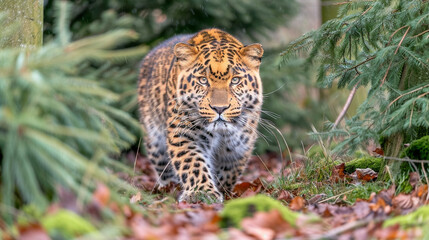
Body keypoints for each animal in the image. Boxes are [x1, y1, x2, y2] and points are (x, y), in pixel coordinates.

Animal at [139, 28, 262, 202]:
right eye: (203, 80)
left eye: (235, 80)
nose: (219, 108)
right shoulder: (183, 134)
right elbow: (192, 164)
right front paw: (202, 192)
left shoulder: (240, 144)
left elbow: (229, 171)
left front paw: (220, 189)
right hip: (154, 140)